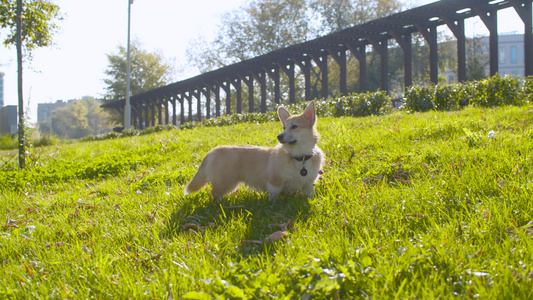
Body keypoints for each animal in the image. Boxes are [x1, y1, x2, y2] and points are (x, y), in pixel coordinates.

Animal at [183, 99, 324, 200]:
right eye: (283, 127)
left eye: (294, 126)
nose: (279, 136)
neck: (299, 157)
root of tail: (212, 151)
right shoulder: (275, 182)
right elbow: (274, 197)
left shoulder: (309, 185)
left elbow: (309, 195)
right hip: (226, 182)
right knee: (215, 194)